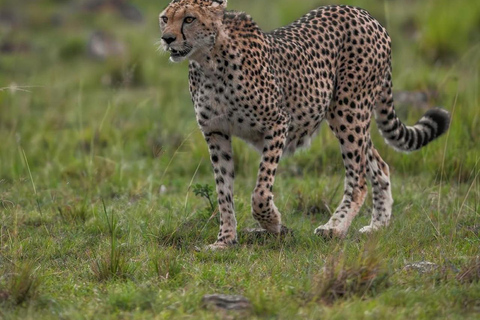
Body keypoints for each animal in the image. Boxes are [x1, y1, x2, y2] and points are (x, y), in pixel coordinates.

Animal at [158, 0, 450, 249]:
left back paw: (335, 228)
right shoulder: (216, 133)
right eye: (164, 18)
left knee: (358, 179)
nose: (167, 38)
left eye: (189, 19)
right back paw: (377, 226)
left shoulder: (277, 123)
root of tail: (364, 14)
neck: (208, 61)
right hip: (354, 115)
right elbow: (223, 191)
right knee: (379, 164)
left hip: (347, 110)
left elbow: (260, 192)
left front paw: (273, 224)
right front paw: (225, 240)